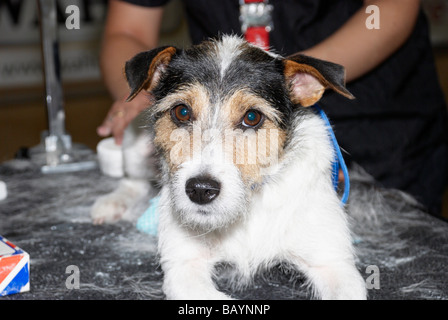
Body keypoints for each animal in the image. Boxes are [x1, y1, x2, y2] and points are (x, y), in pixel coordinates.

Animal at [91, 35, 368, 300]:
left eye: (252, 117)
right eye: (181, 112)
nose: (200, 190)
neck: (248, 208)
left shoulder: (333, 265)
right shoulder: (185, 267)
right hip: (136, 150)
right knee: (133, 181)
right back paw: (112, 203)